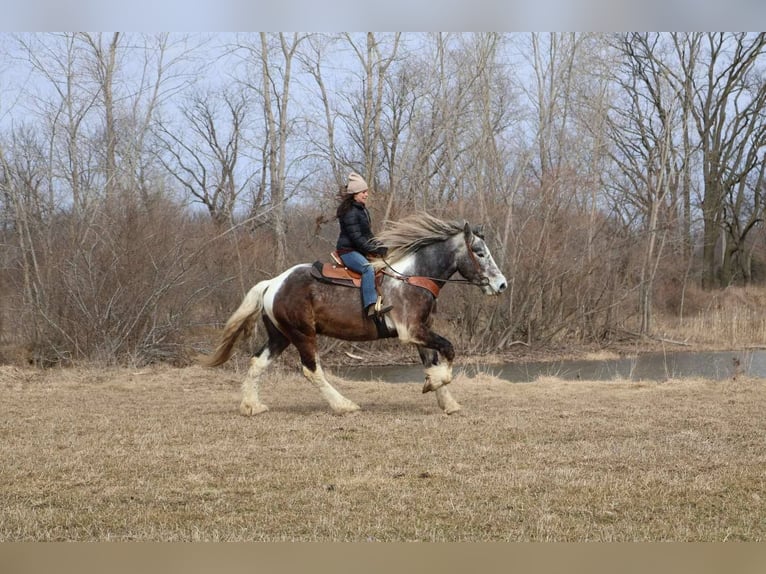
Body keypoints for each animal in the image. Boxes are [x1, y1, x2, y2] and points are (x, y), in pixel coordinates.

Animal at [200, 212, 507, 415]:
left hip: (281, 336)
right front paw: (436, 384)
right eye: (479, 252)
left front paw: (446, 400)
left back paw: (251, 406)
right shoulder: (412, 332)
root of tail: (273, 283)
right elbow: (450, 349)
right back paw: (343, 405)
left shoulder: (421, 333)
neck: (413, 277)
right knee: (311, 370)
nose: (501, 284)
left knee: (257, 363)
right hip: (303, 334)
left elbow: (433, 361)